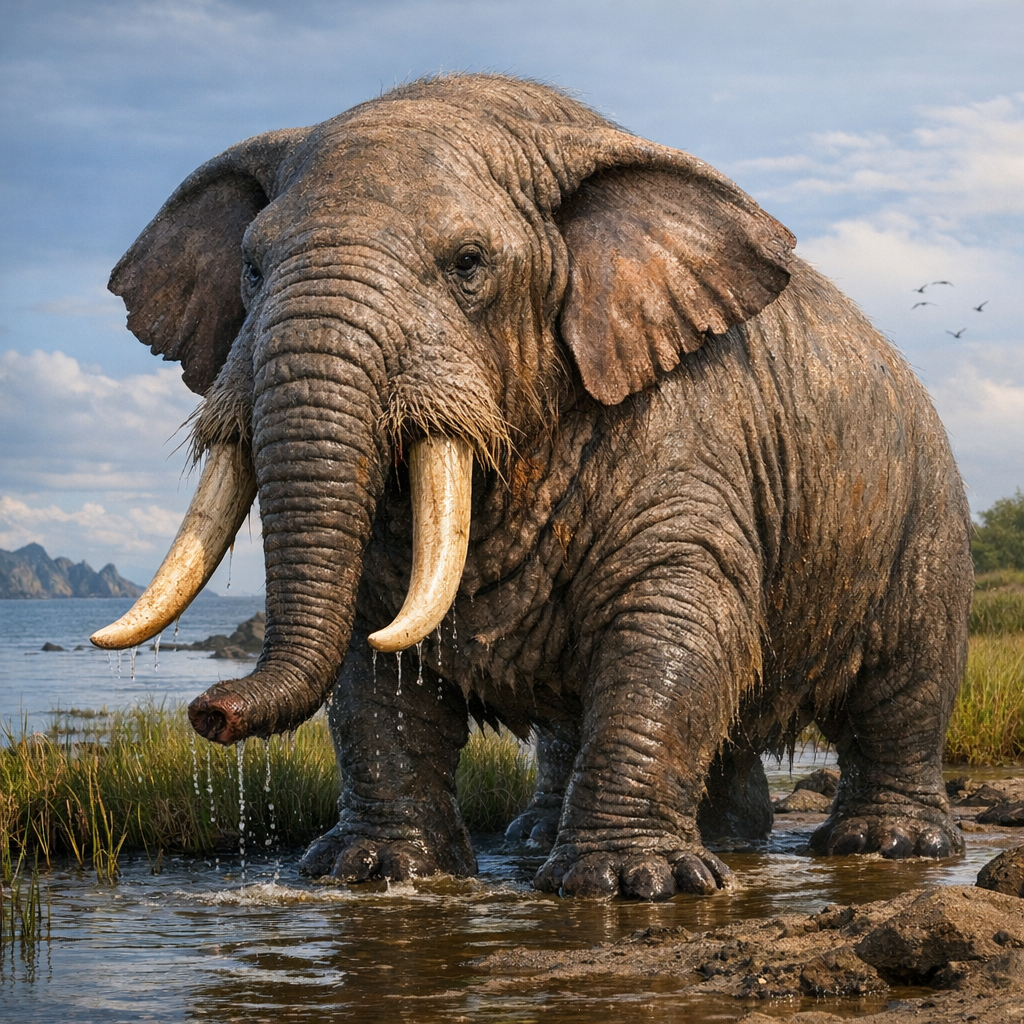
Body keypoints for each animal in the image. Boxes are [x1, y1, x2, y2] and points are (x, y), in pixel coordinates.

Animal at [92, 74, 972, 900]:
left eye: (468, 264)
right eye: (250, 267)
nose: (210, 710)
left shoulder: (688, 428)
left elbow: (673, 622)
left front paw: (628, 884)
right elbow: (374, 658)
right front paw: (371, 872)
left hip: (924, 516)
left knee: (904, 686)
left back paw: (888, 844)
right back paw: (577, 836)